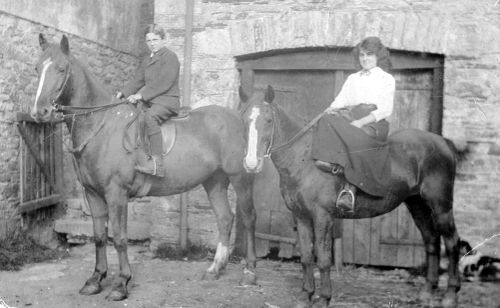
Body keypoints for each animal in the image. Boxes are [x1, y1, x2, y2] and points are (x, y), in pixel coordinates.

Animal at [30, 34, 258, 300]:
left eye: (61, 68)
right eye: (37, 68)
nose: (39, 111)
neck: (101, 125)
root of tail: (237, 118)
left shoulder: (117, 194)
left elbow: (119, 238)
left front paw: (121, 283)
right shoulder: (93, 194)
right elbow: (99, 237)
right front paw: (95, 279)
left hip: (240, 178)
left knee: (248, 218)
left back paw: (250, 272)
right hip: (214, 181)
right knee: (225, 218)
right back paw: (215, 268)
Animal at [240, 86, 458, 308]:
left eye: (268, 120)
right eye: (244, 119)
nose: (251, 163)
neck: (304, 159)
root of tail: (442, 142)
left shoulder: (322, 217)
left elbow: (323, 259)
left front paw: (324, 298)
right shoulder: (301, 216)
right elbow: (306, 257)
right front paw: (306, 295)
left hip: (441, 206)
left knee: (451, 242)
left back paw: (450, 294)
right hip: (417, 204)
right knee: (431, 240)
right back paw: (427, 291)